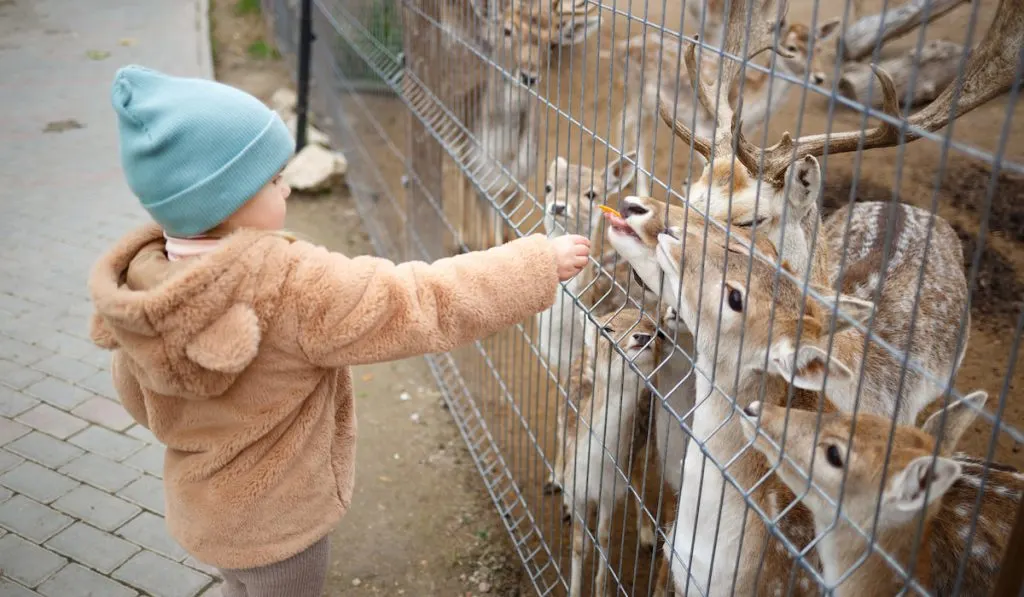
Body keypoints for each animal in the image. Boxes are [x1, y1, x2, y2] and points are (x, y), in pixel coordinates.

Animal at [552, 309, 663, 597]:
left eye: (658, 331)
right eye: (608, 329)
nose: (642, 337)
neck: (595, 469)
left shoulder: (611, 493)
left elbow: (604, 537)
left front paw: (601, 589)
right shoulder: (579, 489)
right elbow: (579, 544)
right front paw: (573, 590)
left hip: (649, 440)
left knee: (639, 476)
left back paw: (647, 536)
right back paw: (555, 482)